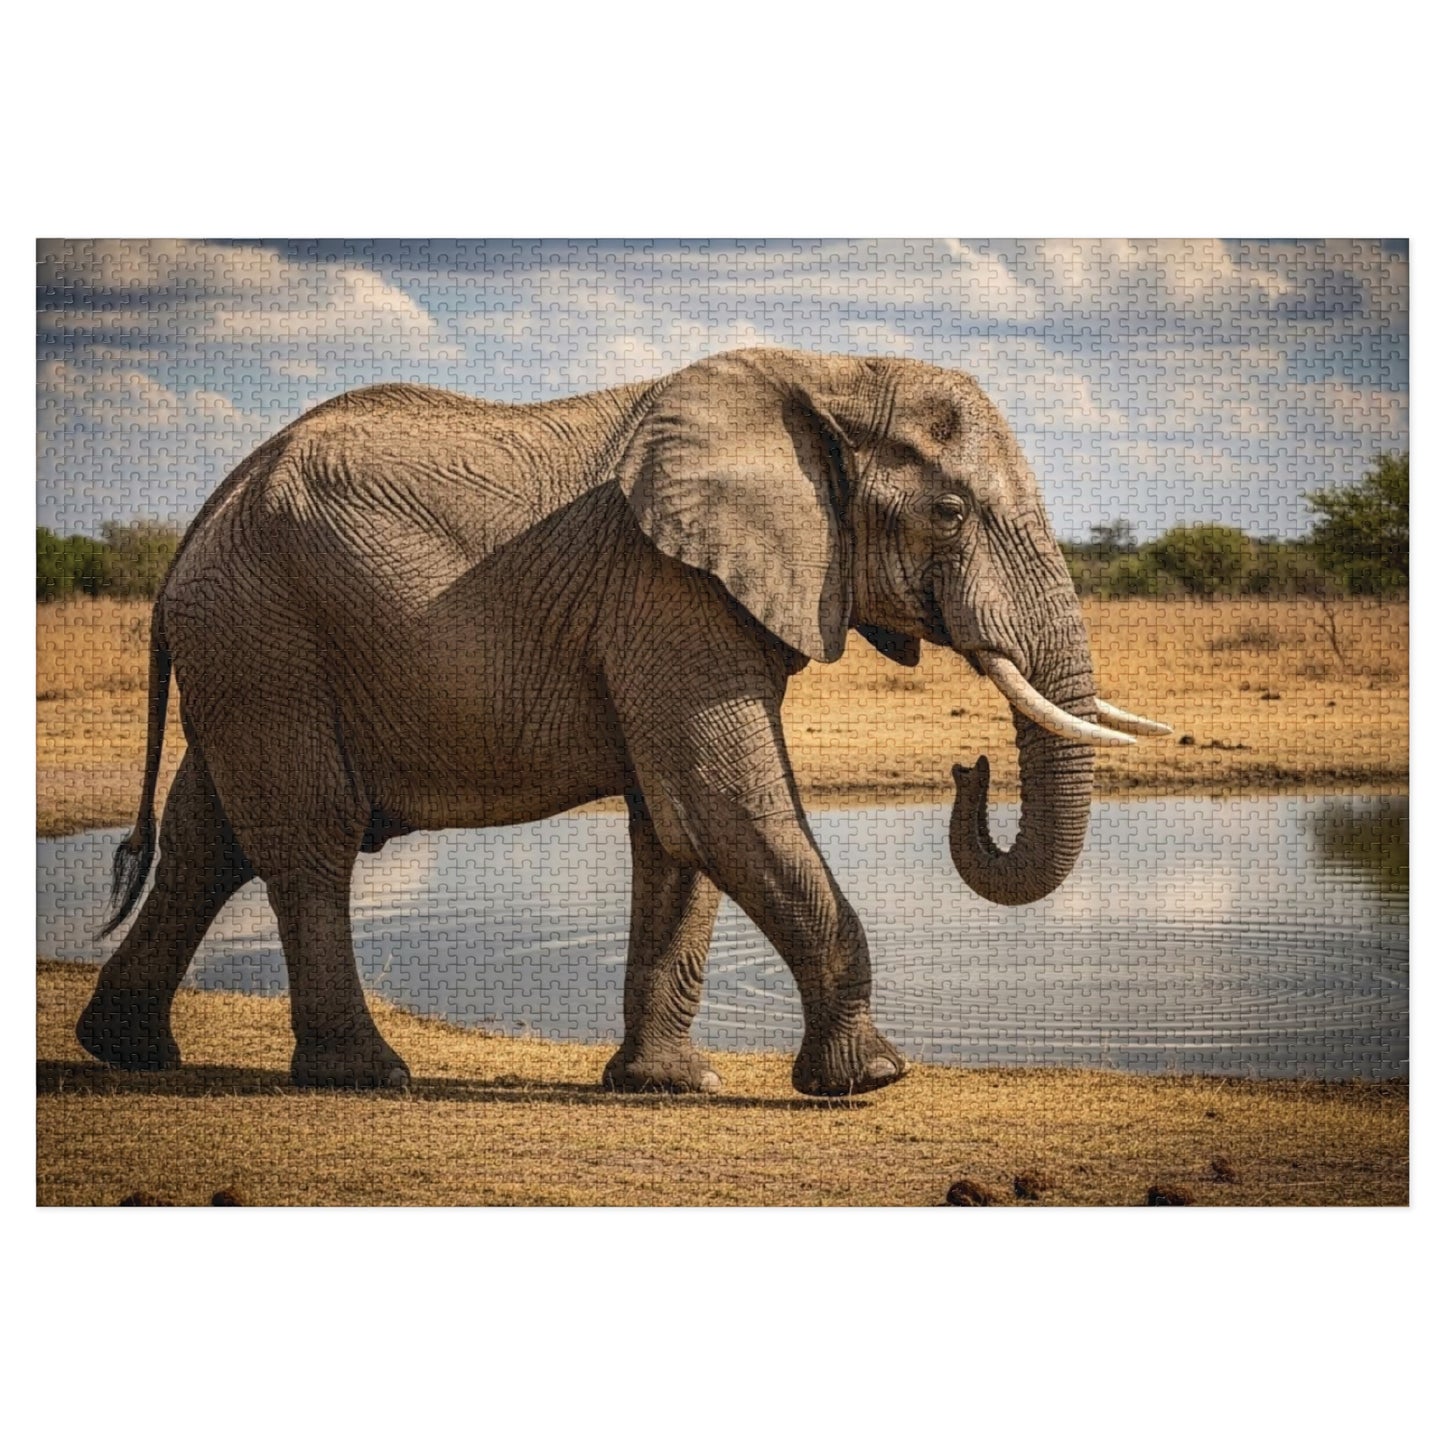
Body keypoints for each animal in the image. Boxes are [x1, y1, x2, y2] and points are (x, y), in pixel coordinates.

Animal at [77, 348, 1169, 1096]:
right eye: (948, 513)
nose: (965, 766)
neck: (827, 375)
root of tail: (197, 522)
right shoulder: (668, 591)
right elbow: (724, 806)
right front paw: (872, 1080)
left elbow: (677, 831)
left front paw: (668, 1084)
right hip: (267, 633)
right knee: (308, 837)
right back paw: (365, 1072)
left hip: (248, 647)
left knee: (208, 837)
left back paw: (125, 1050)